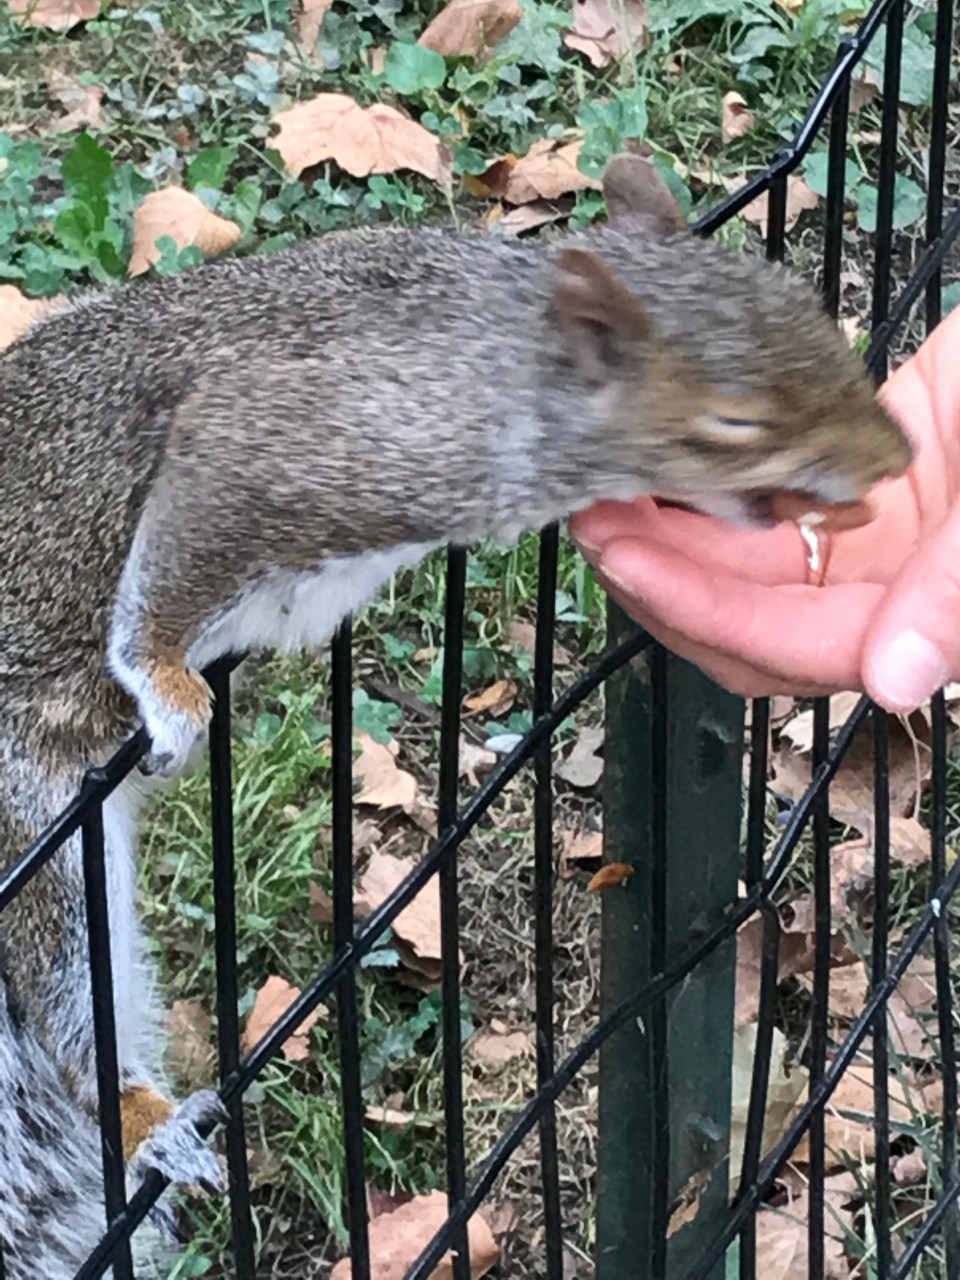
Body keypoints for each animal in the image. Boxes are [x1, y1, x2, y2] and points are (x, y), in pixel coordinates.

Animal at [0, 152, 912, 1276]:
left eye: (807, 317)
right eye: (734, 423)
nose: (893, 461)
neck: (501, 359)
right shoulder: (296, 439)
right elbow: (175, 559)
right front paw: (166, 682)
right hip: (31, 815)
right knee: (66, 1009)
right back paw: (141, 1117)